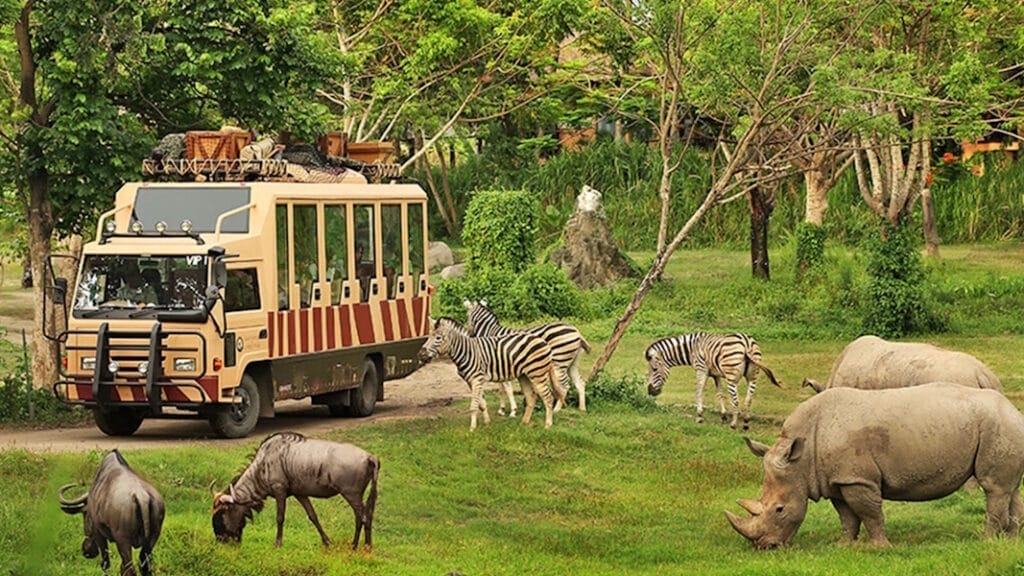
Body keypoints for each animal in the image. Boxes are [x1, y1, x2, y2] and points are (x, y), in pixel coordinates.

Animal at [415, 315, 565, 428]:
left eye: (438, 338)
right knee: (532, 397)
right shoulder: (471, 381)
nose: (420, 355)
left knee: (548, 398)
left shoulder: (477, 378)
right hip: (524, 375)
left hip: (537, 374)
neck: (466, 351)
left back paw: (547, 425)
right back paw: (524, 422)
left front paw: (472, 428)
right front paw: (486, 422)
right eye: (428, 337)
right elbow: (481, 403)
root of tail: (544, 341)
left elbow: (474, 405)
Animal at [464, 297, 593, 414]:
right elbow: (501, 389)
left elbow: (507, 388)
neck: (492, 332)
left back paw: (556, 409)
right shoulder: (498, 365)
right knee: (580, 383)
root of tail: (576, 331)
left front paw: (512, 411)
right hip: (572, 363)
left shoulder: (502, 363)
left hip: (559, 362)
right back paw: (582, 408)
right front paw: (502, 409)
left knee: (565, 386)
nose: (470, 334)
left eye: (467, 316)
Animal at [643, 332, 778, 426]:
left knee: (735, 400)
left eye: (654, 369)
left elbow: (698, 391)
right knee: (749, 399)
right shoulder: (716, 374)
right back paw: (745, 422)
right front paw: (723, 416)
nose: (650, 391)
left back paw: (734, 424)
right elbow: (720, 394)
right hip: (752, 377)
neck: (692, 349)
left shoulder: (701, 370)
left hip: (731, 377)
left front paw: (699, 416)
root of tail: (746, 343)